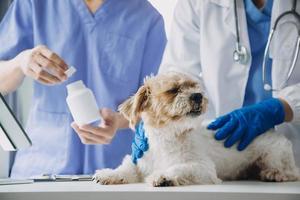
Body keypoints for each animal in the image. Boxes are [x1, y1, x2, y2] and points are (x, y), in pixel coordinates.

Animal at [94, 72, 300, 186]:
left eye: (194, 86)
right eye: (173, 90)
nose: (198, 96)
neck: (167, 137)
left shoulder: (202, 168)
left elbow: (179, 168)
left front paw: (164, 176)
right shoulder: (140, 160)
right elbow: (127, 168)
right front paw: (110, 174)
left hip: (274, 154)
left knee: (292, 172)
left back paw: (274, 174)